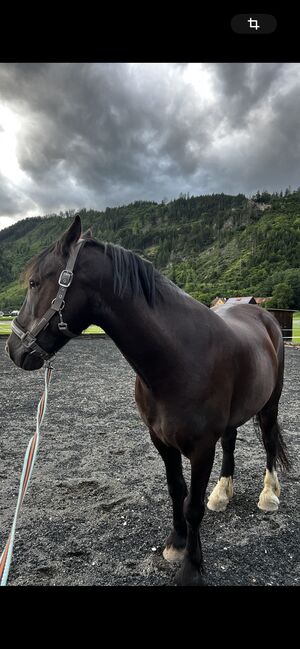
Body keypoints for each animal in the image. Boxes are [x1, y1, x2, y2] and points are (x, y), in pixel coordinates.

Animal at [5, 215, 290, 584]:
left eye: (35, 282)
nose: (13, 349)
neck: (178, 359)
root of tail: (266, 318)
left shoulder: (201, 448)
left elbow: (192, 505)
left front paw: (191, 567)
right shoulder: (161, 440)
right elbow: (176, 490)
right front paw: (176, 544)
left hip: (270, 405)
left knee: (268, 442)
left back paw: (268, 495)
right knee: (231, 441)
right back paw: (222, 493)